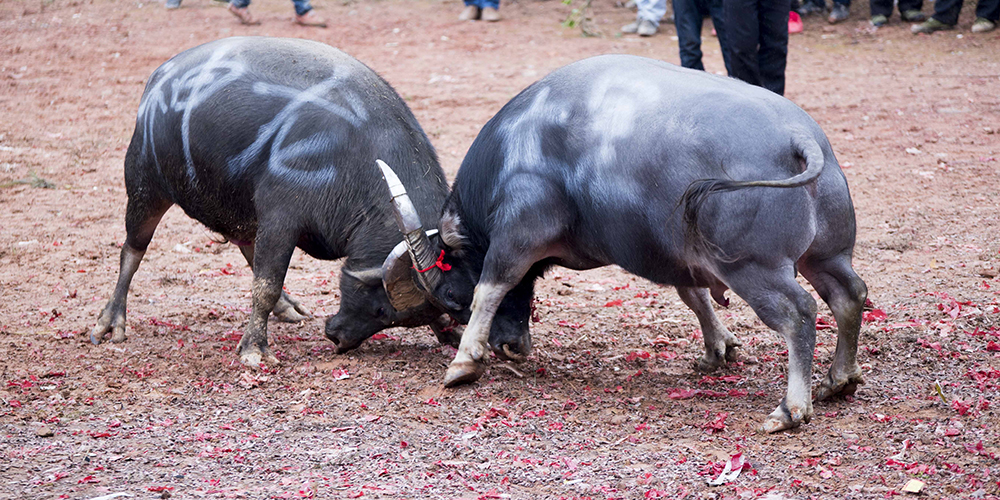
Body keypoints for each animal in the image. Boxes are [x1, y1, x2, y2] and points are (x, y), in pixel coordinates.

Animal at [89, 35, 458, 364]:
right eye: (381, 309)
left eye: (396, 317)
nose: (339, 337)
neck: (356, 156)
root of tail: (159, 77)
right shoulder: (281, 217)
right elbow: (265, 284)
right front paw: (254, 349)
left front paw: (448, 332)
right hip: (145, 187)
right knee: (132, 251)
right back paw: (111, 320)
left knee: (245, 246)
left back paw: (286, 306)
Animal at [378, 53, 872, 430]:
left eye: (451, 297)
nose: (510, 347)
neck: (521, 143)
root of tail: (800, 136)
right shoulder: (673, 253)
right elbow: (694, 296)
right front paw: (718, 349)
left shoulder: (517, 234)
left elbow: (491, 287)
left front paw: (464, 362)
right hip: (827, 254)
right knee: (849, 295)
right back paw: (838, 379)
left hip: (753, 267)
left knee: (800, 313)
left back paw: (791, 408)